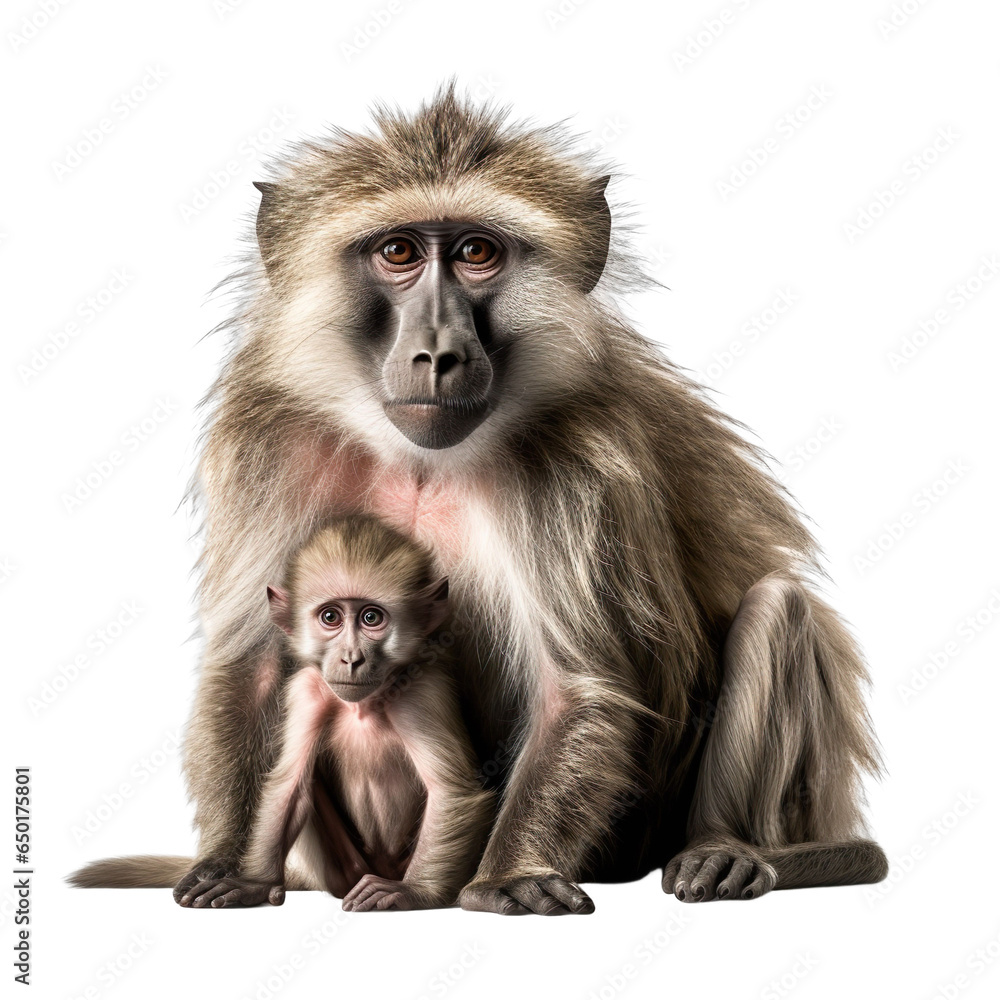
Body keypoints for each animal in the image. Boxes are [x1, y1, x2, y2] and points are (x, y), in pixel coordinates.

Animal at [70, 85, 887, 915]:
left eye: (475, 253)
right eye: (399, 253)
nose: (438, 354)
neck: (420, 462)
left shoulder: (570, 462)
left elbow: (574, 685)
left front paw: (508, 878)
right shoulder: (272, 442)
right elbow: (251, 667)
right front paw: (230, 866)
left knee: (776, 610)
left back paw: (722, 848)